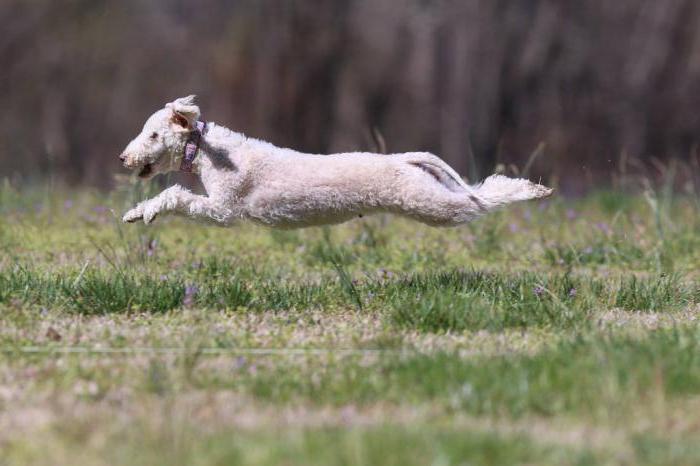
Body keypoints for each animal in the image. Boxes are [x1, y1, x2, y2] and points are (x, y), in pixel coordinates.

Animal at [120, 95, 552, 228]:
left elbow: (178, 196)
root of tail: (405, 159)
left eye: (153, 135)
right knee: (480, 191)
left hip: (430, 205)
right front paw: (134, 212)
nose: (125, 158)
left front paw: (145, 212)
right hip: (430, 192)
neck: (210, 151)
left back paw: (534, 190)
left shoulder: (225, 208)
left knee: (481, 201)